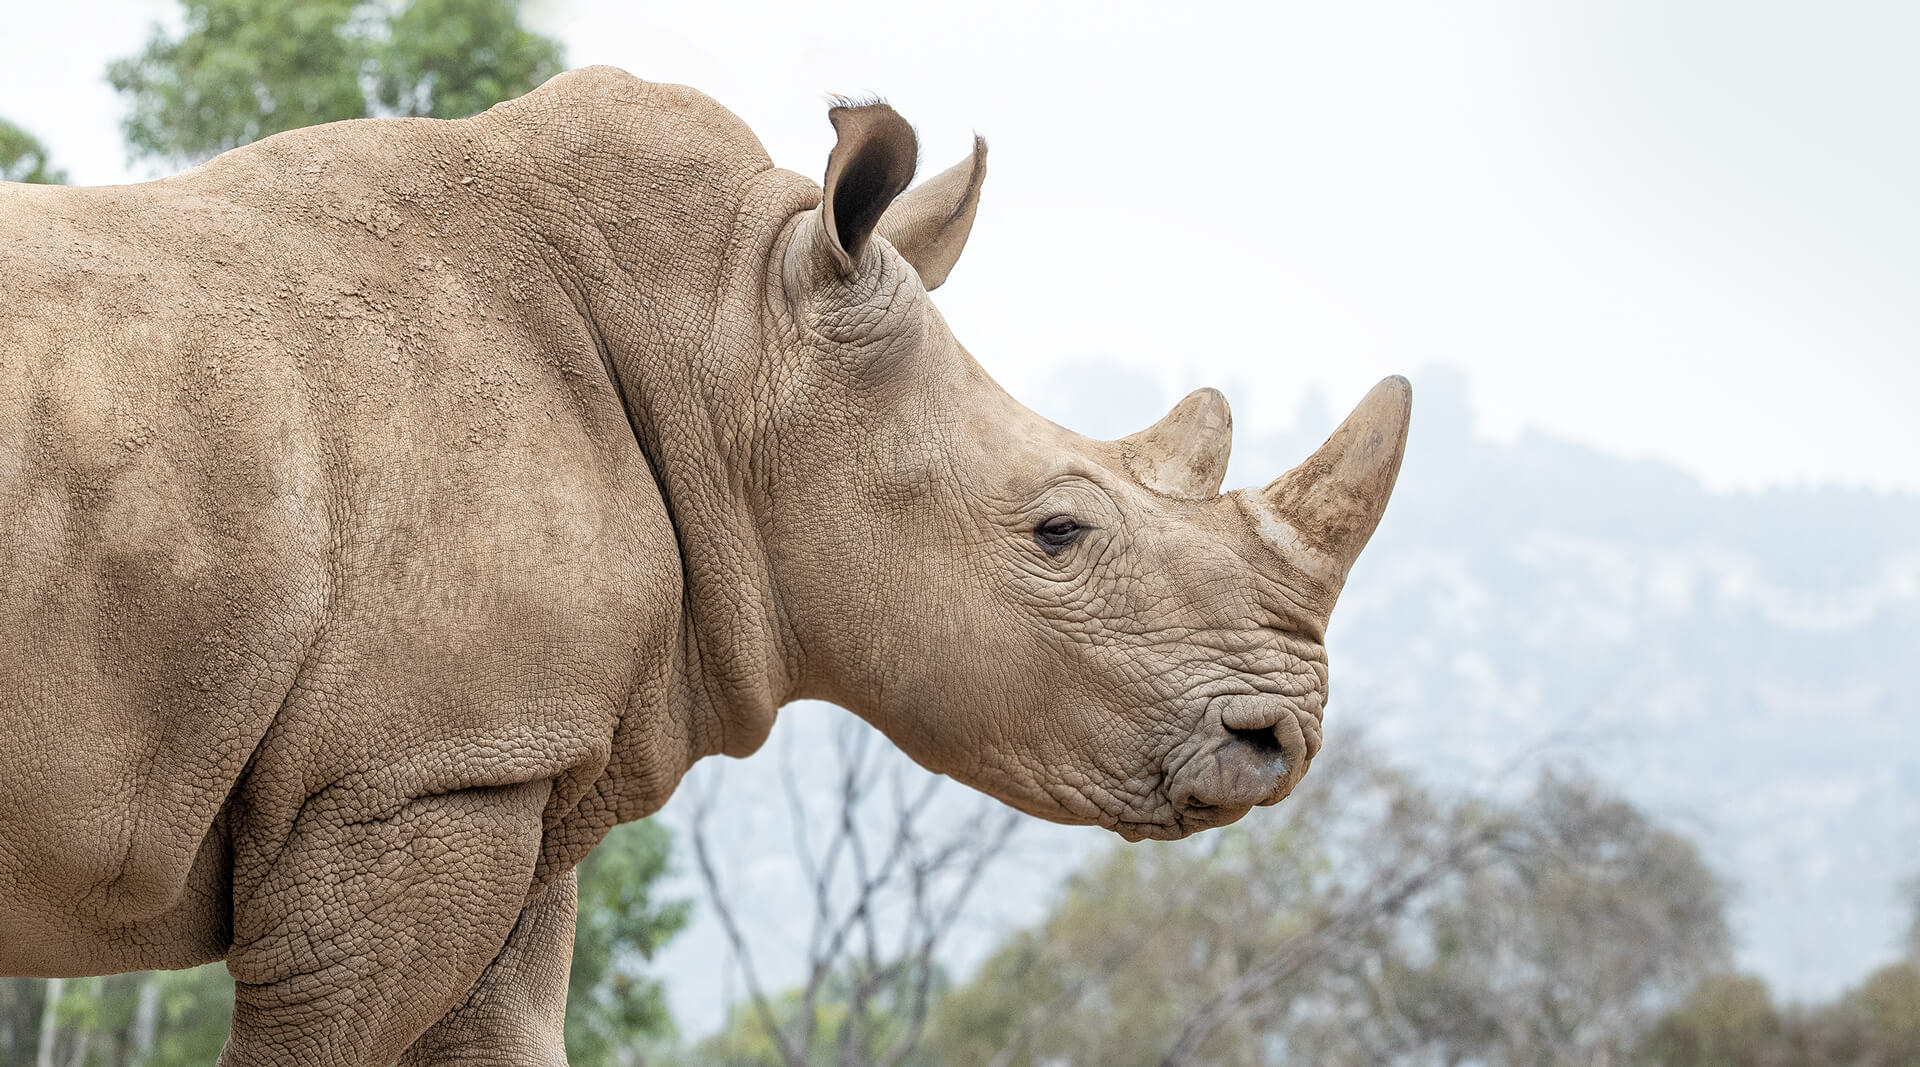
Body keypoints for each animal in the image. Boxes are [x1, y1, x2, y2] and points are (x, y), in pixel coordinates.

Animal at [0, 67, 1409, 1064]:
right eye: (1059, 532)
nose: (1283, 736)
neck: (726, 342)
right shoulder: (405, 777)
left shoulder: (496, 754)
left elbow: (500, 1030)